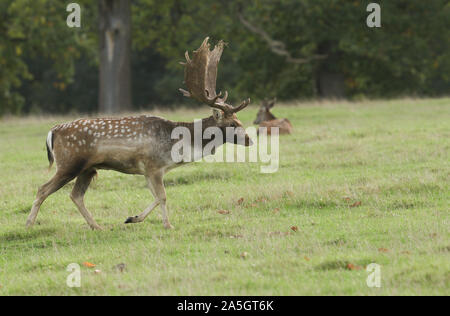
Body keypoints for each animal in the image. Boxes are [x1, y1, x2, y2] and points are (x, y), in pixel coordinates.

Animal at [26, 37, 251, 231]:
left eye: (239, 120)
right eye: (232, 123)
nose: (250, 139)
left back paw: (97, 226)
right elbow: (163, 196)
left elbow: (156, 196)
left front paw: (132, 218)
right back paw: (28, 225)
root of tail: (52, 131)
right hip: (69, 163)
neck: (177, 145)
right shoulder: (153, 166)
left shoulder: (148, 171)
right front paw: (168, 225)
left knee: (75, 195)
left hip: (88, 169)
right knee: (43, 189)